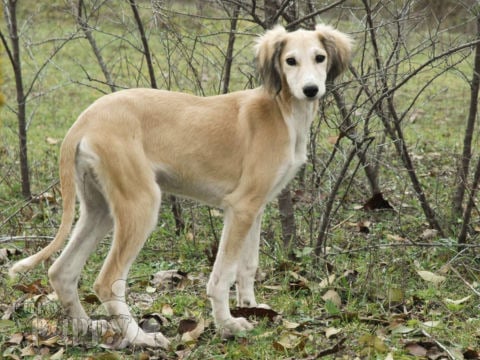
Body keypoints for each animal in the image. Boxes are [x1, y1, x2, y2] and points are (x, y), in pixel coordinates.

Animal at [8, 23, 352, 348]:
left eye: (320, 58)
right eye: (290, 61)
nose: (311, 90)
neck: (281, 112)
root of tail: (85, 120)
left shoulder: (256, 208)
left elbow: (247, 266)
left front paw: (252, 308)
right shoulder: (240, 208)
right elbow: (223, 275)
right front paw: (227, 324)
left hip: (100, 209)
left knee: (62, 271)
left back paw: (85, 328)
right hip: (141, 204)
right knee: (107, 282)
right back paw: (141, 338)